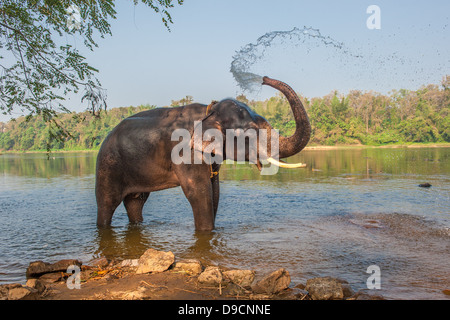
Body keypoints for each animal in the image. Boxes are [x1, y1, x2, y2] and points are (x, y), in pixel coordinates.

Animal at [96, 78, 310, 232]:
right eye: (249, 132)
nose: (264, 79)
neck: (209, 111)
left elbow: (214, 190)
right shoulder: (185, 152)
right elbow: (198, 191)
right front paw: (206, 232)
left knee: (135, 202)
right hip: (108, 165)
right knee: (107, 203)